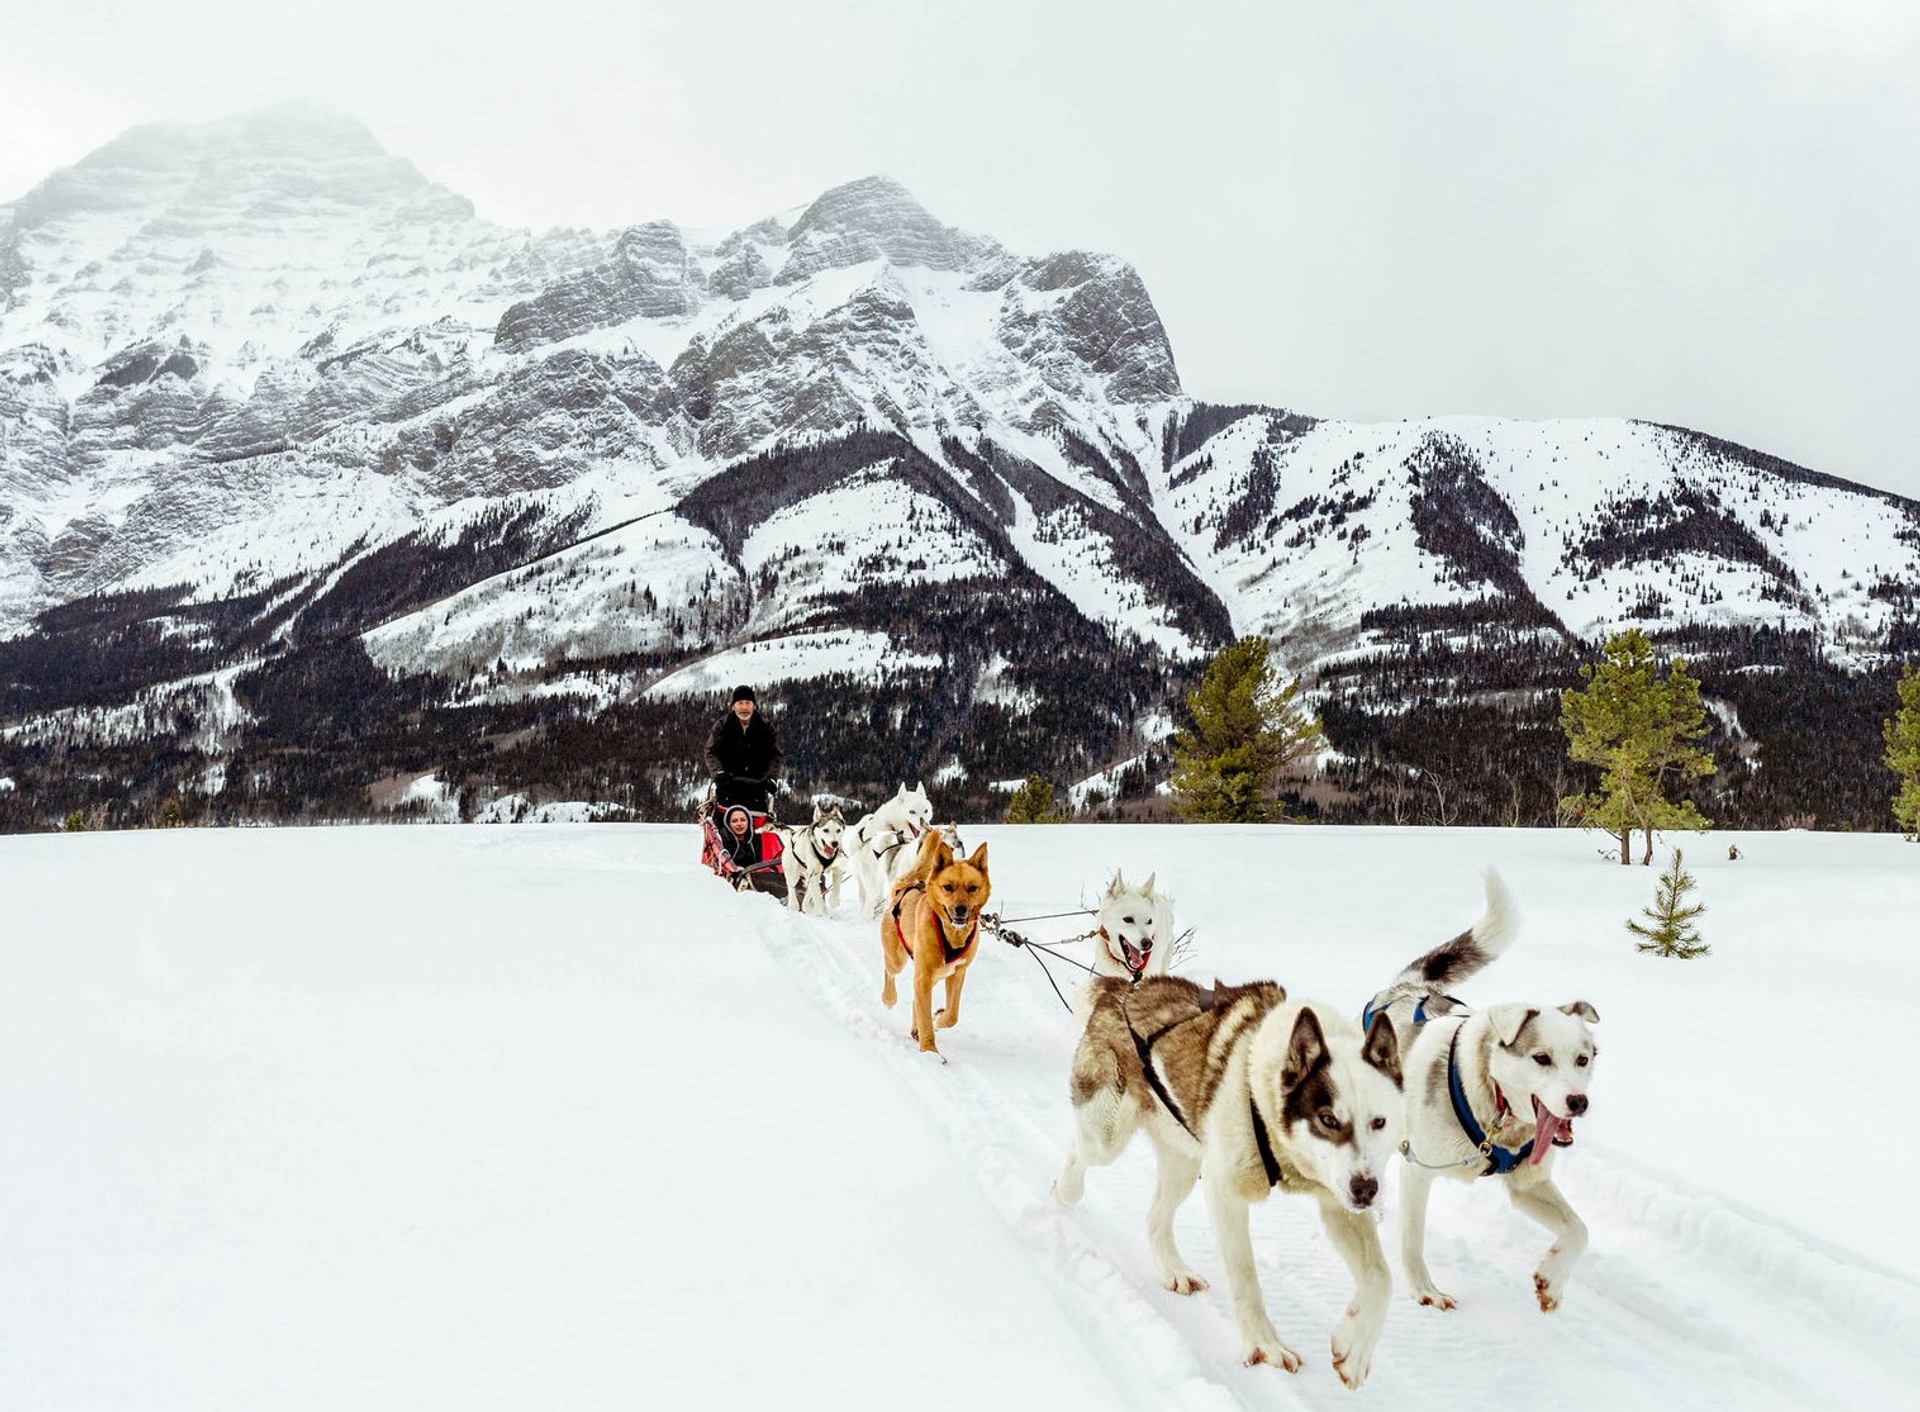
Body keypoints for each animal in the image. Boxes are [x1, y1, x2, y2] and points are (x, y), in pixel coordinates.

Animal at [879, 829, 990, 1060]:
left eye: (972, 888)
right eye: (948, 887)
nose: (960, 910)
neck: (951, 934)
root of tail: (906, 885)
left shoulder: (957, 975)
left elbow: (952, 1015)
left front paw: (938, 1018)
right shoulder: (924, 976)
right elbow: (926, 1020)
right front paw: (930, 1051)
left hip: (937, 975)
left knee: (916, 1000)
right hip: (898, 959)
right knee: (889, 972)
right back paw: (889, 998)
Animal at [1052, 975, 1413, 1383]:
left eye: (1379, 1121)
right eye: (1328, 1119)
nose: (1367, 1189)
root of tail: (1123, 987)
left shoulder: (1337, 1202)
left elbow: (1381, 1278)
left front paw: (1355, 1349)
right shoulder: (1226, 1191)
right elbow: (1245, 1276)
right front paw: (1264, 1345)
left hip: (1185, 1163)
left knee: (1156, 1218)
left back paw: (1174, 1270)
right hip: (1107, 1135)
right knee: (1082, 1150)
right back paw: (1065, 1189)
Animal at [1359, 879, 1612, 1321]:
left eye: (1583, 1059)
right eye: (1541, 1058)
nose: (1578, 1102)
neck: (1496, 1111)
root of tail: (1407, 988)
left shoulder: (1530, 1184)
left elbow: (1579, 1230)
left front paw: (1552, 1282)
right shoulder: (1418, 1171)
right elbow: (1412, 1239)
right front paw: (1424, 1290)